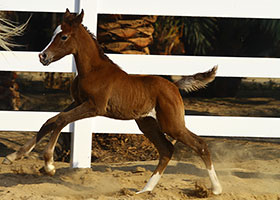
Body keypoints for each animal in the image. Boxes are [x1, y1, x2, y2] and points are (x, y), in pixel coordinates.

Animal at [2, 9, 221, 195]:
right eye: (54, 34)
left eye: (63, 36)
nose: (43, 56)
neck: (93, 71)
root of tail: (174, 85)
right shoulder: (77, 102)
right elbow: (50, 121)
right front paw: (14, 156)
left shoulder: (94, 107)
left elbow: (61, 120)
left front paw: (49, 165)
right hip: (147, 123)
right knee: (167, 150)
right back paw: (144, 190)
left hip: (172, 124)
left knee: (200, 145)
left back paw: (216, 189)